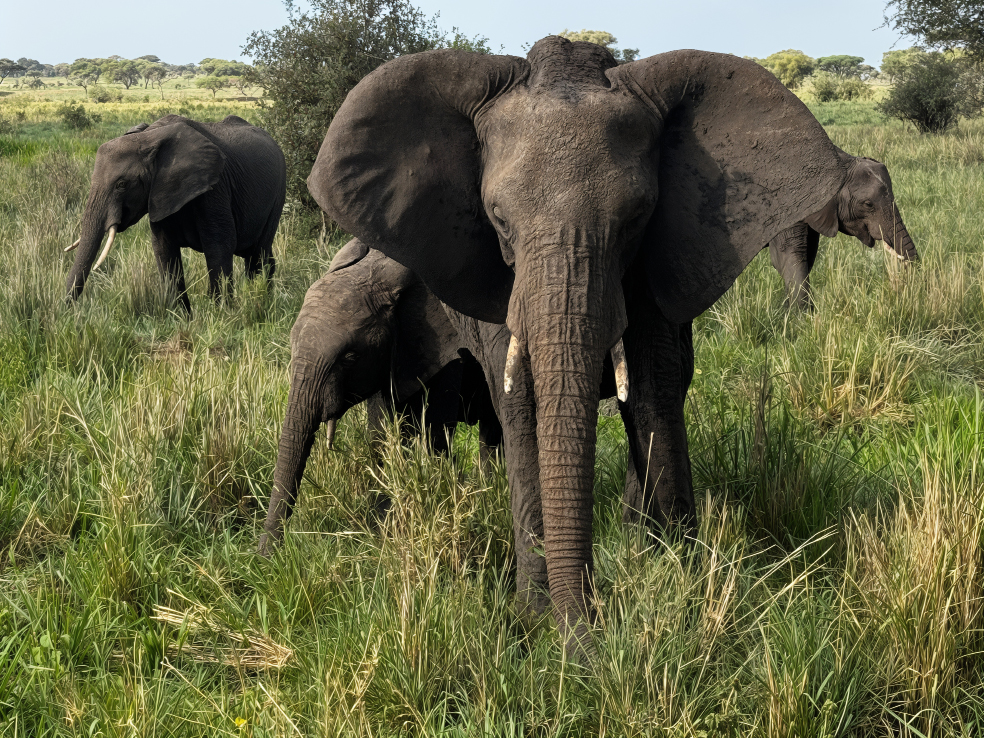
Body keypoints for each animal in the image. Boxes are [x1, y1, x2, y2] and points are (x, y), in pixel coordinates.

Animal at [65, 114, 286, 314]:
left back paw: (261, 298)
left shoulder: (214, 188)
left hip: (278, 195)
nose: (65, 312)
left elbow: (219, 245)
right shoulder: (159, 194)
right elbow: (164, 250)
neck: (149, 136)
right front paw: (182, 318)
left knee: (259, 253)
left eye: (121, 185)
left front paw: (222, 315)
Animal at [258, 239, 503, 555]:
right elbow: (381, 433)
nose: (266, 557)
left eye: (349, 357)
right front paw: (381, 531)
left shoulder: (446, 349)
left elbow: (434, 435)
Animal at [308, 37, 849, 651]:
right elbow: (521, 406)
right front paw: (536, 619)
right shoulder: (499, 279)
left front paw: (676, 583)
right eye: (498, 218)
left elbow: (654, 395)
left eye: (636, 218)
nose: (586, 633)